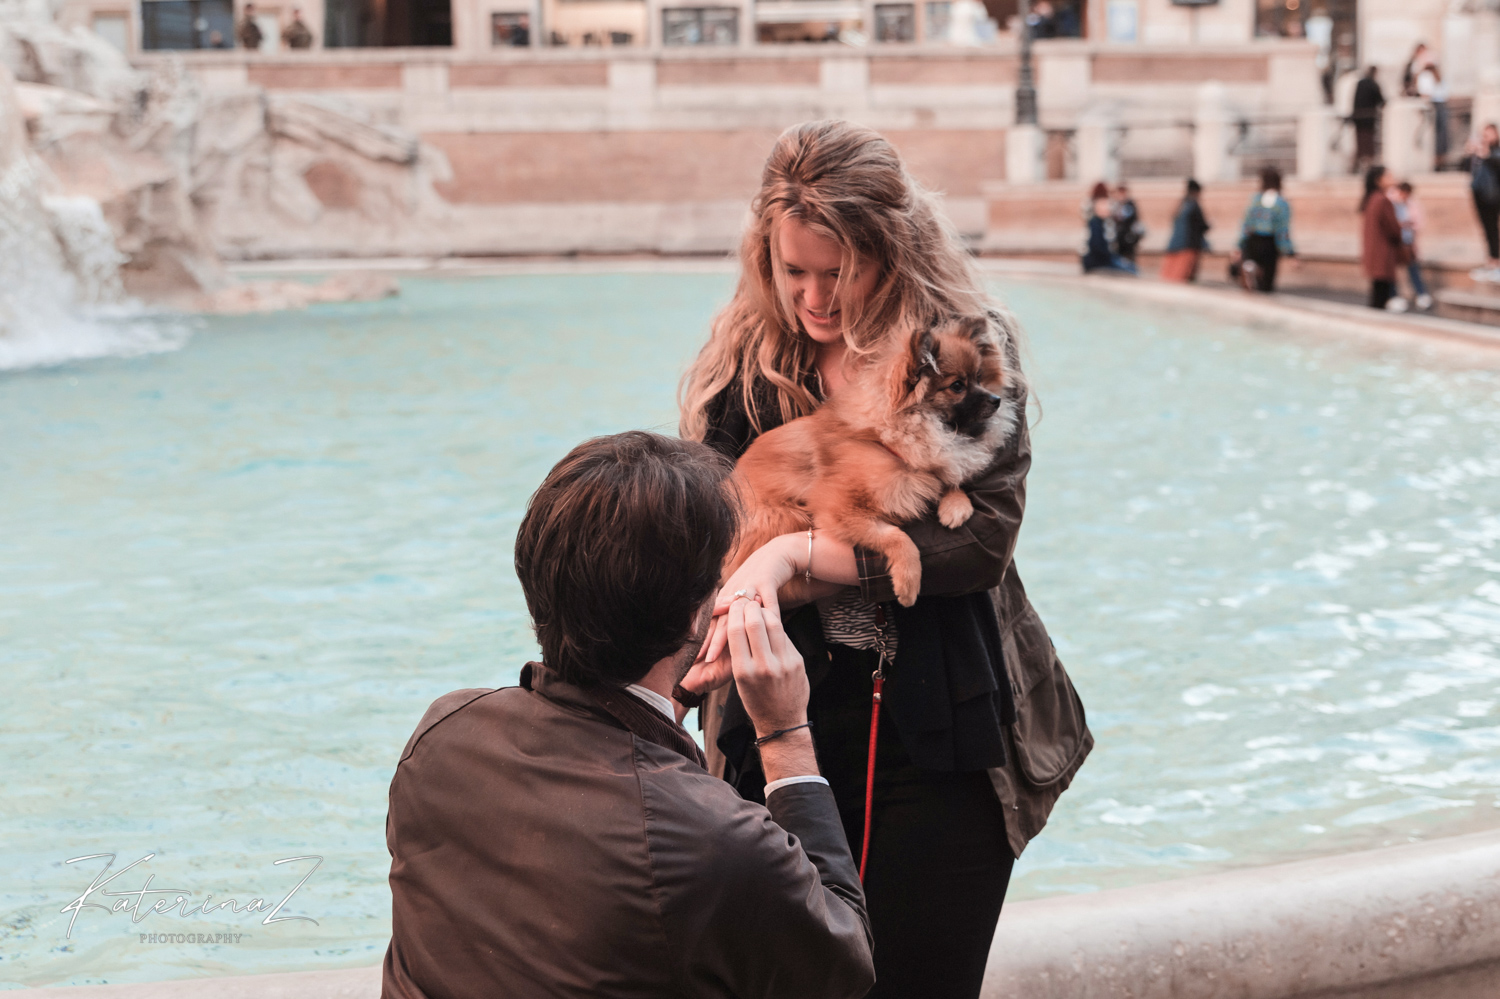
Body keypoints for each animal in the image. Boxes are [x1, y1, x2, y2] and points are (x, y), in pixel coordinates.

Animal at [729, 315, 1020, 603]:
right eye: (958, 386)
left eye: (980, 378)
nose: (996, 399)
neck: (889, 439)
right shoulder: (840, 510)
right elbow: (898, 537)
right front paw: (908, 582)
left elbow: (943, 478)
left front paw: (956, 506)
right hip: (787, 515)